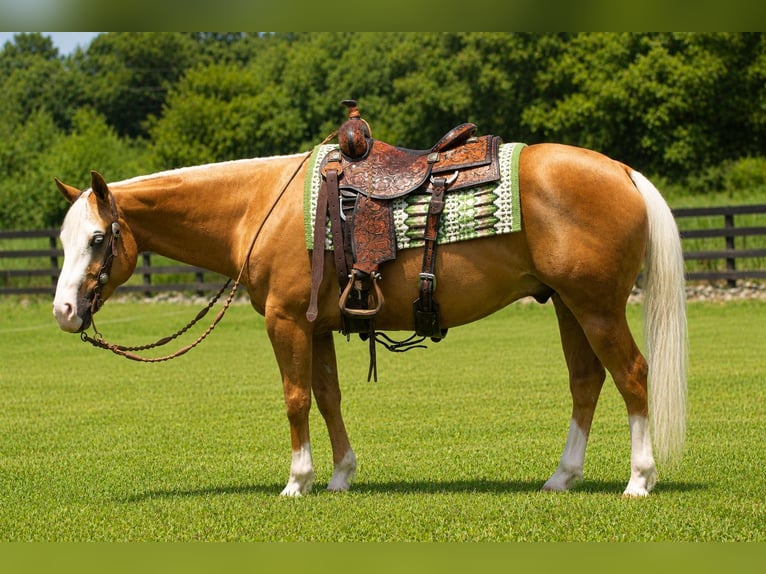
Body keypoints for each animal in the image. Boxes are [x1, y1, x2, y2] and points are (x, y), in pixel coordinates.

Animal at [52, 142, 687, 497]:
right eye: (61, 240)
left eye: (98, 238)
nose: (63, 311)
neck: (260, 206)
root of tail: (622, 170)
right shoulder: (317, 327)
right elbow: (328, 396)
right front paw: (340, 476)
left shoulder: (286, 321)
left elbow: (295, 399)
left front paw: (297, 482)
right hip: (567, 305)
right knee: (587, 381)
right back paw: (562, 477)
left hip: (596, 307)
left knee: (632, 375)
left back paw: (639, 479)